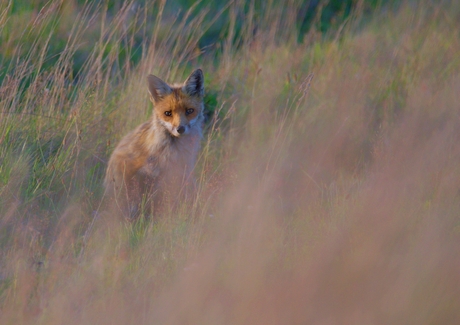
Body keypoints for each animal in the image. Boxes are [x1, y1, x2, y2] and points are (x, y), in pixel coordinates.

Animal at [105, 69, 206, 219]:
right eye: (168, 113)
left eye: (189, 111)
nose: (180, 129)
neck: (175, 151)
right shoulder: (144, 172)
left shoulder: (183, 171)